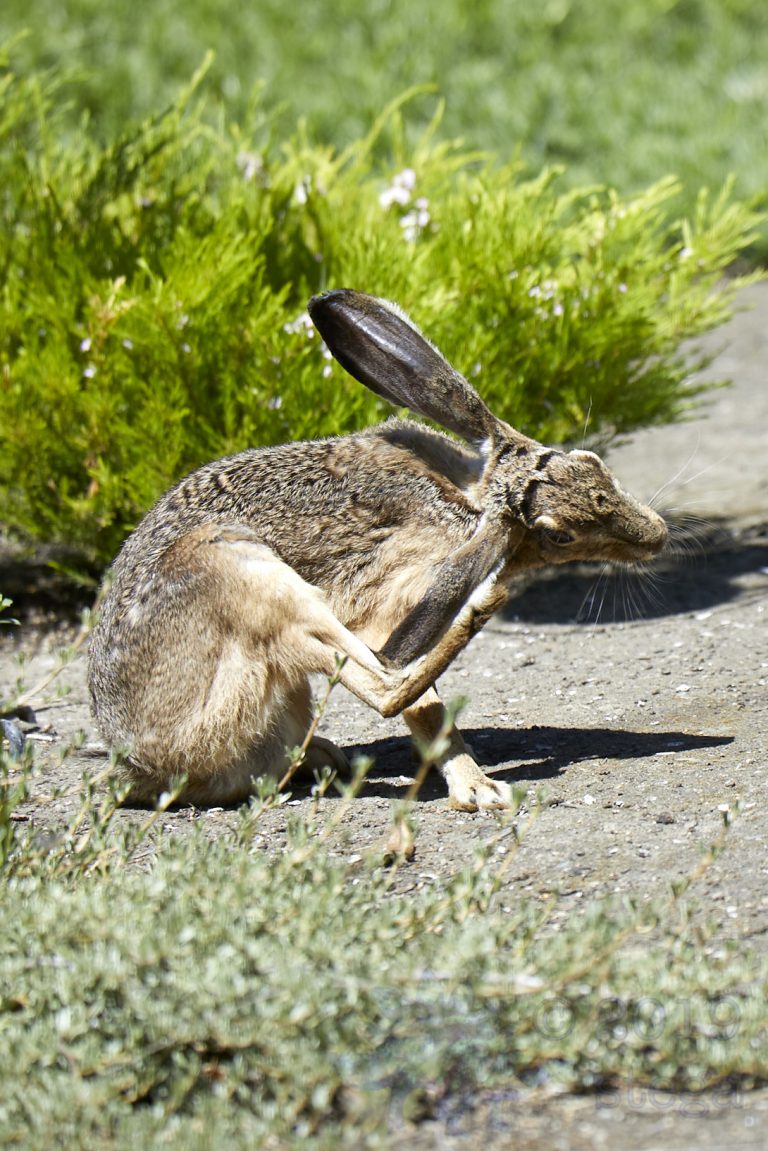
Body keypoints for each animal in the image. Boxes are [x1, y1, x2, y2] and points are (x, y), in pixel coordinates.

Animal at [88, 289, 668, 810]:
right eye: (559, 534)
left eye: (592, 462)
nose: (656, 536)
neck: (471, 500)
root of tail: (144, 767)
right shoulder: (390, 597)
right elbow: (411, 691)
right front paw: (475, 791)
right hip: (238, 574)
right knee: (387, 682)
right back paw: (480, 621)